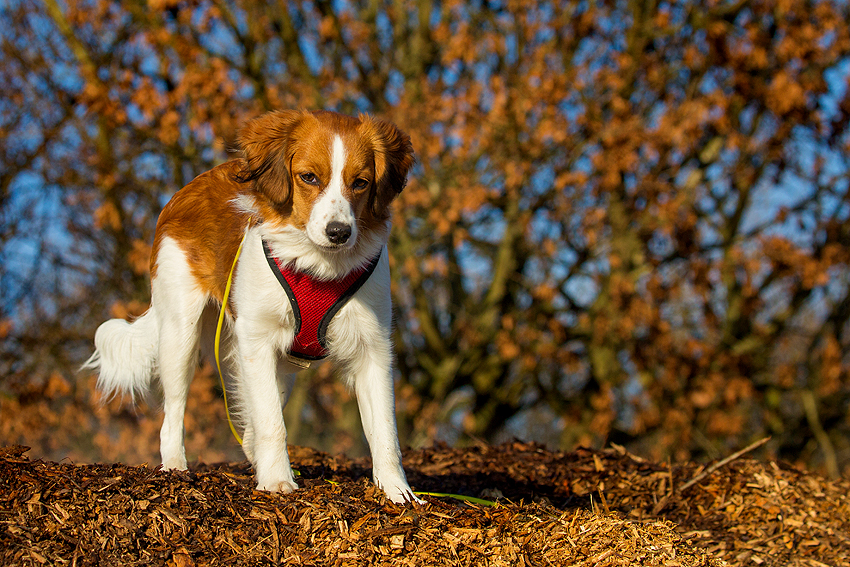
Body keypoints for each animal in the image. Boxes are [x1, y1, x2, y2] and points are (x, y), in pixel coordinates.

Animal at [83, 108, 420, 504]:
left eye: (361, 182)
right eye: (309, 177)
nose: (339, 232)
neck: (318, 264)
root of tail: (189, 187)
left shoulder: (372, 347)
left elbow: (385, 430)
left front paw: (397, 492)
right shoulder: (256, 341)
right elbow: (272, 421)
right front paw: (276, 481)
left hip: (282, 362)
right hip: (181, 335)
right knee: (174, 411)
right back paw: (176, 467)